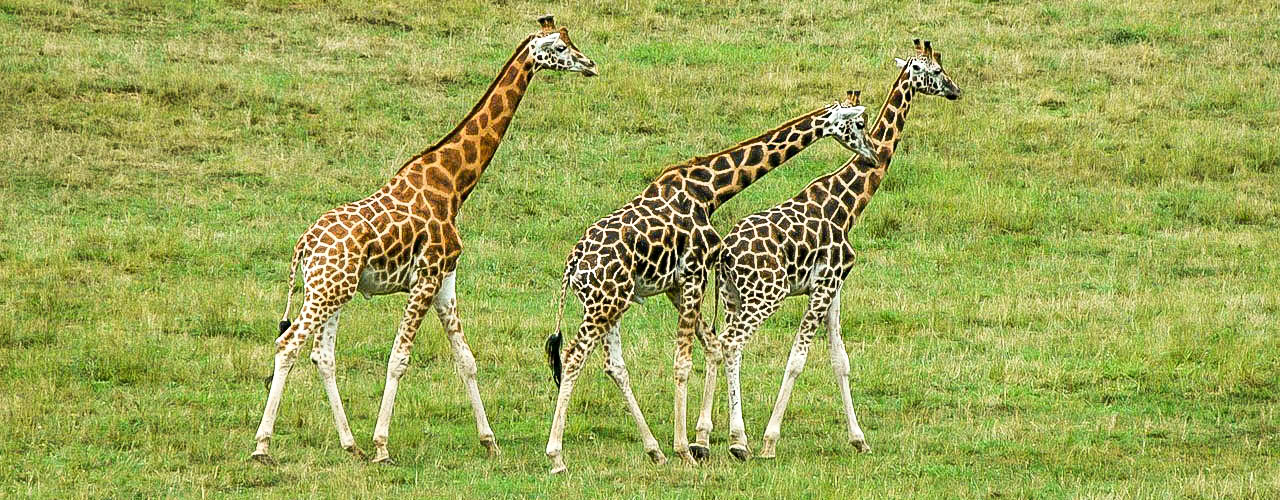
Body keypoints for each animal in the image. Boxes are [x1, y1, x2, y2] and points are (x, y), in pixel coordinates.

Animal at [250, 15, 598, 466]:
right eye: (558, 47)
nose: (590, 65)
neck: (453, 184)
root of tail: (303, 246)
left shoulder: (445, 280)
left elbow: (465, 359)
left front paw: (490, 441)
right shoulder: (426, 278)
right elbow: (399, 358)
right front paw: (382, 446)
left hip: (332, 290)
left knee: (321, 355)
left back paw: (350, 444)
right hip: (326, 292)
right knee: (288, 345)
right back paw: (263, 446)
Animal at [542, 90, 876, 474]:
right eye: (859, 124)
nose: (872, 154)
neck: (710, 190)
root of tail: (573, 264)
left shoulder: (676, 284)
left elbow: (711, 345)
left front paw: (699, 442)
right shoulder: (695, 273)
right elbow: (684, 361)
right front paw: (686, 449)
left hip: (612, 302)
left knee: (614, 366)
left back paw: (653, 450)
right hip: (604, 303)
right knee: (573, 356)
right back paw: (556, 456)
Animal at [703, 39, 962, 461]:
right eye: (936, 71)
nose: (956, 90)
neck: (848, 204)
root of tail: (724, 253)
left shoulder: (834, 285)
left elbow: (840, 360)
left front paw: (859, 438)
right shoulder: (824, 285)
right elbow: (796, 359)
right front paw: (770, 440)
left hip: (731, 297)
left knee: (720, 344)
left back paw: (708, 436)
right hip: (765, 296)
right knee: (731, 344)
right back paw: (734, 440)